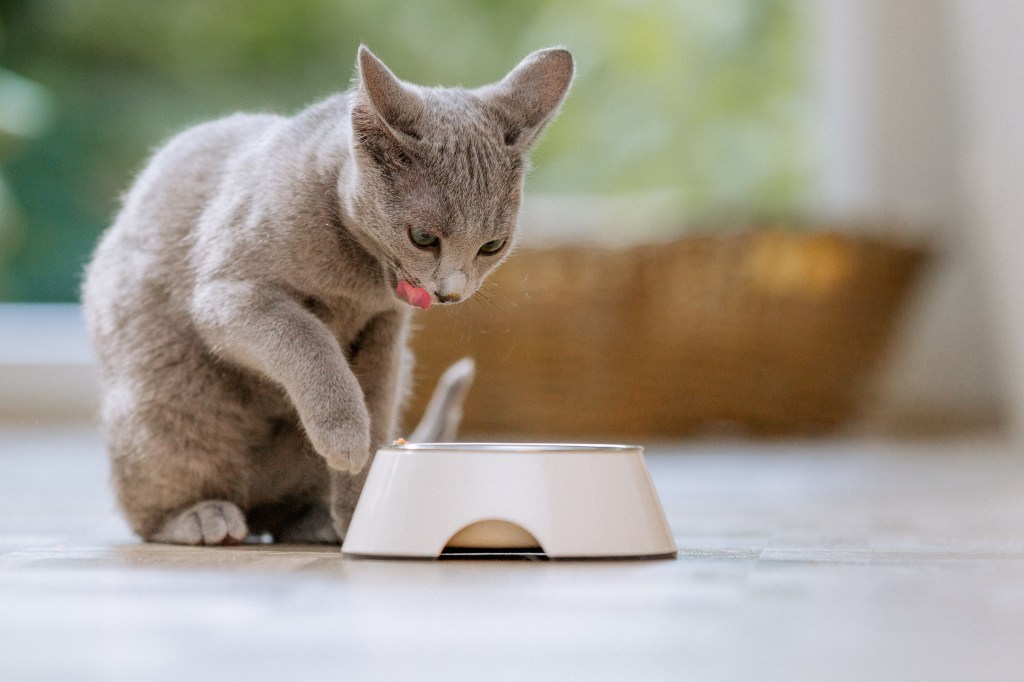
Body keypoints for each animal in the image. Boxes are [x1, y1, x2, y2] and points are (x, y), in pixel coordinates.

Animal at [77, 45, 577, 544]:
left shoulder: (384, 334)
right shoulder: (229, 294)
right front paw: (345, 437)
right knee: (147, 510)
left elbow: (375, 402)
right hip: (164, 409)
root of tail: (253, 507)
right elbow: (306, 338)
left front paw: (361, 503)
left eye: (492, 246)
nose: (450, 292)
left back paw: (316, 522)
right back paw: (200, 518)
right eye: (422, 238)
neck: (358, 284)